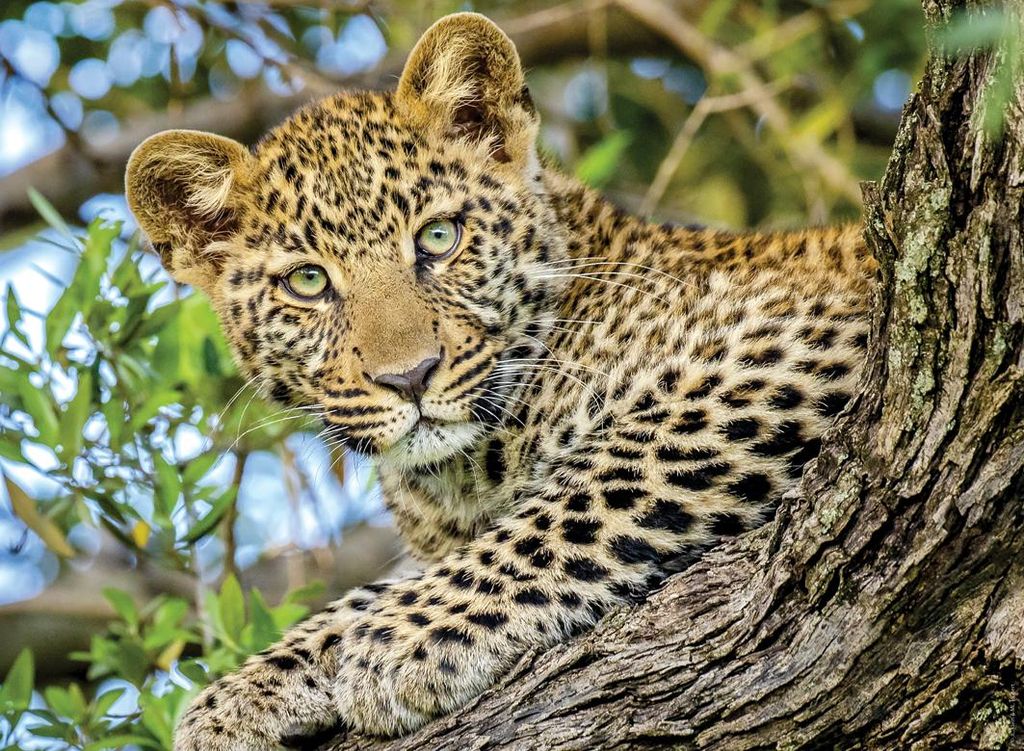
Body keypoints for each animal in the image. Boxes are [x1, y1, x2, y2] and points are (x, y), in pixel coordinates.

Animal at [125, 12, 876, 751]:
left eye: (438, 237)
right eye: (307, 282)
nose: (410, 377)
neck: (462, 477)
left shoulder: (787, 342)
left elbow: (577, 498)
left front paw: (408, 640)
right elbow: (371, 588)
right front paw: (241, 691)